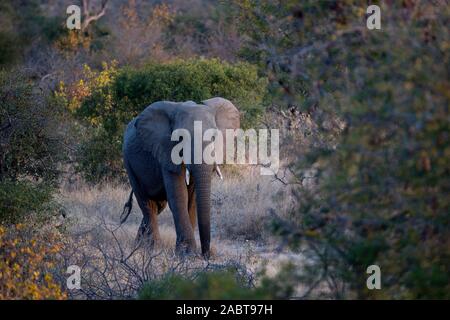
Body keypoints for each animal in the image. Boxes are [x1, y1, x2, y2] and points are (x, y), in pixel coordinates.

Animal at [119, 96, 239, 258]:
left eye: (214, 137)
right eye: (181, 138)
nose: (206, 255)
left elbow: (192, 199)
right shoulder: (166, 150)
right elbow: (179, 195)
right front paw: (187, 253)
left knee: (158, 206)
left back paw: (139, 245)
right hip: (128, 163)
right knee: (147, 203)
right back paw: (152, 248)